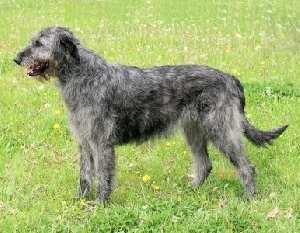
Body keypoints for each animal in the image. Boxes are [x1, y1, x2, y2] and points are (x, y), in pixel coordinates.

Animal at [14, 26, 288, 202]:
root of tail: (230, 79)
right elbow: (85, 175)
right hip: (194, 131)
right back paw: (191, 192)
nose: (16, 58)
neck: (82, 75)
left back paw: (249, 198)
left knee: (246, 166)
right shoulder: (84, 141)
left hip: (221, 129)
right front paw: (79, 201)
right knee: (204, 164)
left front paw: (100, 205)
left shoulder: (101, 142)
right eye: (32, 41)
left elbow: (102, 176)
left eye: (39, 44)